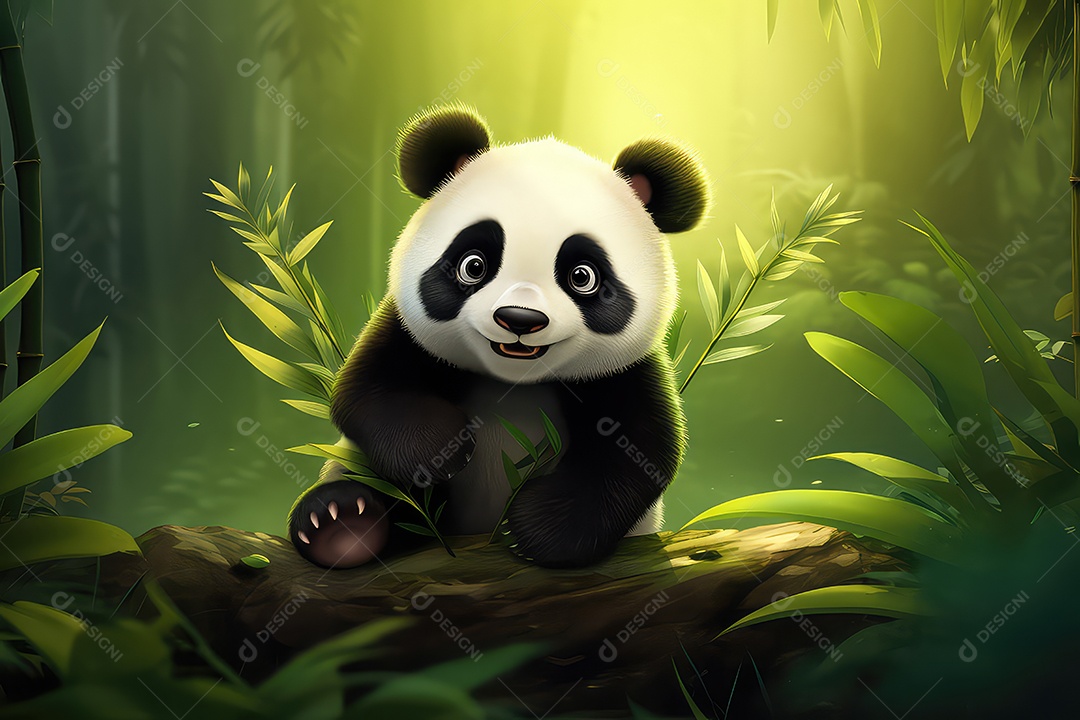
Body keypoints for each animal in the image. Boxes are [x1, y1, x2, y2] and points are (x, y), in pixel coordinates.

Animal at [288, 104, 709, 569]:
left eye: (583, 276)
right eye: (474, 265)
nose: (519, 320)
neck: (513, 384)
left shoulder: (627, 369)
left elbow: (639, 452)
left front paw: (536, 530)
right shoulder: (404, 333)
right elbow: (367, 391)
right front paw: (440, 449)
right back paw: (342, 523)